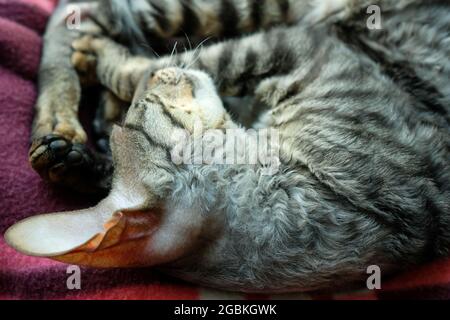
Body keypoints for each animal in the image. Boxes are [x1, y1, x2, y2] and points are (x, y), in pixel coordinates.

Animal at [3, 0, 450, 292]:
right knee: (83, 13)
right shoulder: (309, 48)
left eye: (140, 108)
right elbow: (180, 61)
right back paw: (61, 117)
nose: (159, 82)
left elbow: (187, 61)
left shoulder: (299, 48)